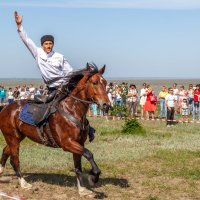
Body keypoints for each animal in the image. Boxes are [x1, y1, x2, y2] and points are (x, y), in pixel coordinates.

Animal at [0, 63, 109, 197]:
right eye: (94, 82)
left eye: (105, 83)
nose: (106, 105)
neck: (71, 110)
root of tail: (5, 108)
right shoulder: (67, 143)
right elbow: (89, 154)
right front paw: (93, 177)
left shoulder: (79, 143)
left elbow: (78, 168)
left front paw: (82, 190)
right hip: (13, 138)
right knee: (14, 160)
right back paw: (24, 184)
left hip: (17, 137)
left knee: (6, 151)